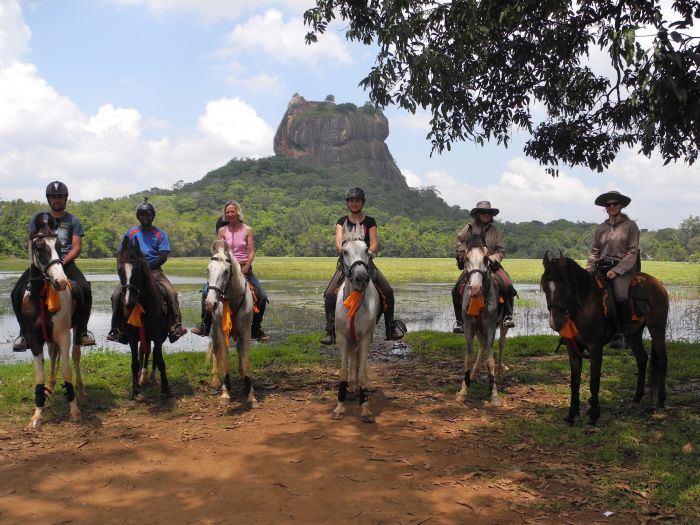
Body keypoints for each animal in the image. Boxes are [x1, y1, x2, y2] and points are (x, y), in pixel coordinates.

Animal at [116, 235, 172, 400]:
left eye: (137, 270)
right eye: (120, 270)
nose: (128, 302)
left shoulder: (158, 335)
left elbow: (159, 359)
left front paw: (165, 389)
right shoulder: (132, 336)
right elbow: (135, 362)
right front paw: (135, 391)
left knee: (153, 354)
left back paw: (151, 377)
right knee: (144, 352)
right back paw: (143, 377)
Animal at [205, 239, 258, 408]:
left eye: (226, 271)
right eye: (208, 270)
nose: (210, 304)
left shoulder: (245, 331)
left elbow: (245, 358)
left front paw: (250, 394)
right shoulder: (222, 332)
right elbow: (225, 359)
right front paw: (225, 392)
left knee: (240, 350)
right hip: (213, 330)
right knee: (216, 351)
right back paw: (215, 379)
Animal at [330, 225, 380, 422]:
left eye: (366, 250)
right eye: (344, 251)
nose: (361, 278)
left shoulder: (365, 337)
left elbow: (362, 373)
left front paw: (365, 408)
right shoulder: (343, 338)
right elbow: (344, 371)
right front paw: (339, 407)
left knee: (358, 363)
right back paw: (351, 387)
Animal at [454, 238, 508, 406]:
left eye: (485, 259)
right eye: (466, 259)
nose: (475, 288)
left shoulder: (490, 326)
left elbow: (491, 360)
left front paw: (494, 394)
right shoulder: (469, 326)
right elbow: (468, 358)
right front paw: (463, 390)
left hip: (502, 327)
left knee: (501, 345)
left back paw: (498, 376)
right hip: (478, 329)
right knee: (483, 346)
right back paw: (472, 376)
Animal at [540, 251, 668, 426]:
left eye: (565, 286)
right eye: (545, 288)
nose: (555, 322)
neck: (583, 306)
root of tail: (657, 284)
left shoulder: (595, 348)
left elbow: (594, 382)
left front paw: (594, 415)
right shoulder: (573, 349)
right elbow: (574, 381)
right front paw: (572, 414)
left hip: (657, 329)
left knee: (662, 361)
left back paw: (661, 401)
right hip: (635, 334)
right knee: (642, 359)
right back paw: (636, 398)